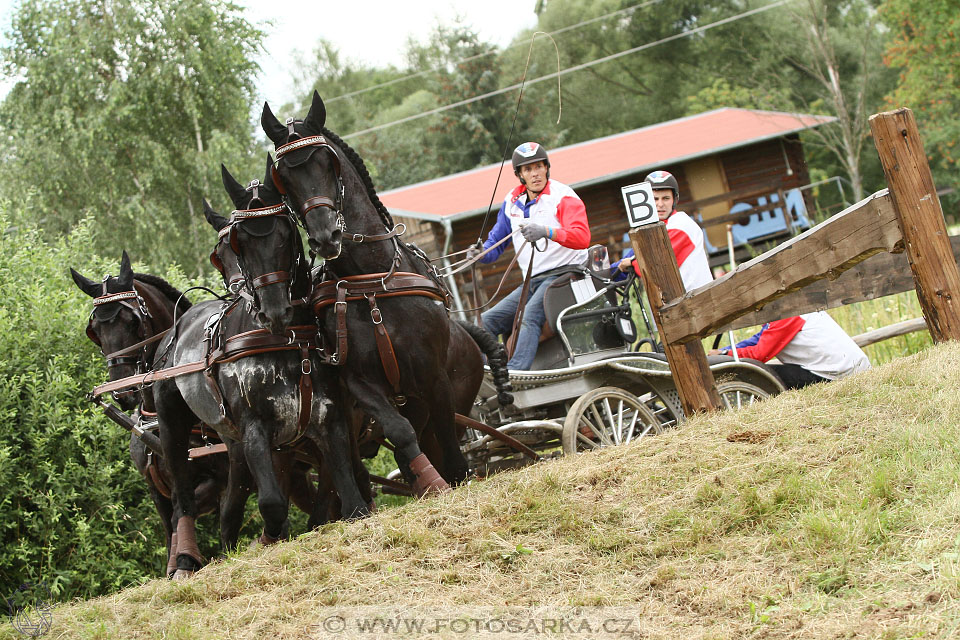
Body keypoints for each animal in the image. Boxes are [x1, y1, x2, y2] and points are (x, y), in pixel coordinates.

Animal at [156, 159, 370, 576]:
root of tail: (176, 326)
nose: (275, 311)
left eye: (285, 233)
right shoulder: (255, 426)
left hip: (232, 440)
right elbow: (272, 503)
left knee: (230, 503)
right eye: (238, 241)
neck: (286, 340)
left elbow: (348, 492)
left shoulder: (329, 417)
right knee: (180, 498)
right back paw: (184, 558)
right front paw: (271, 538)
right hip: (173, 424)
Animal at [258, 91, 512, 490]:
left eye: (326, 162)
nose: (326, 236)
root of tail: (466, 333)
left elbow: (453, 453)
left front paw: (449, 480)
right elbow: (401, 433)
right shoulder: (360, 381)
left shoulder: (435, 379)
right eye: (283, 176)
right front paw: (428, 483)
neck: (372, 282)